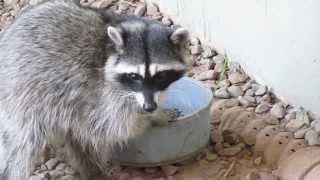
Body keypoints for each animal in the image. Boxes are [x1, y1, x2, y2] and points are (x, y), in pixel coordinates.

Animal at [0, 0, 190, 179]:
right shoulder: (101, 91)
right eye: (134, 76)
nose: (149, 107)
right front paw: (154, 117)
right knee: (22, 145)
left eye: (161, 76)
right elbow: (118, 125)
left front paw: (156, 111)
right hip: (23, 95)